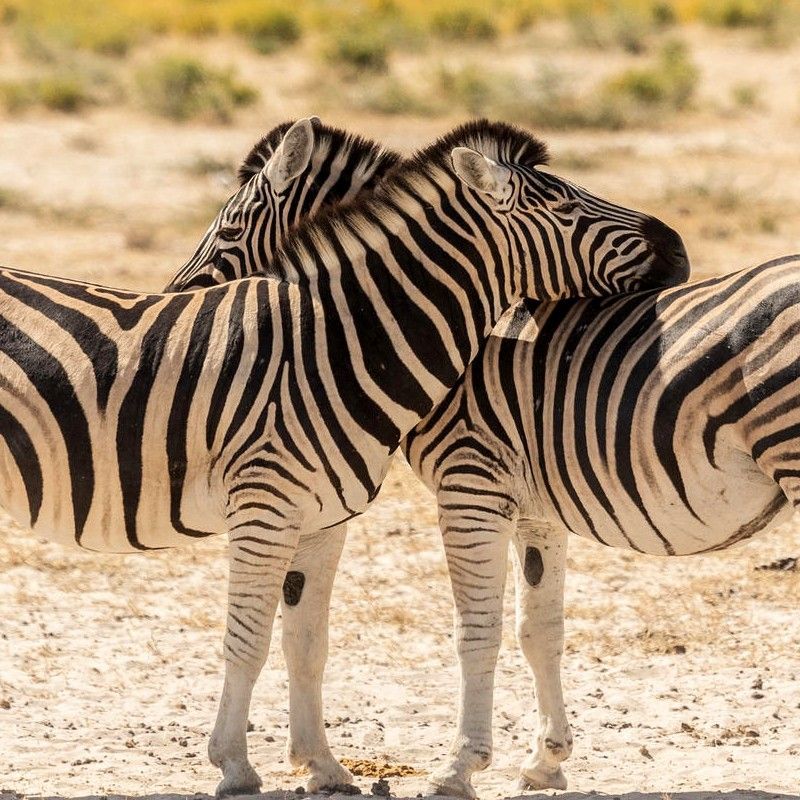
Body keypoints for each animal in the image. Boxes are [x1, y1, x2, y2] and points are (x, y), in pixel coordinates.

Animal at [0, 120, 685, 796]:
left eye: (228, 230)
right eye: (566, 205)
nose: (677, 248)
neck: (335, 342)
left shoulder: (335, 514)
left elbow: (308, 639)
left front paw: (323, 767)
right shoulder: (279, 506)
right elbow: (251, 638)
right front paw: (238, 767)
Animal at [400, 254, 800, 797]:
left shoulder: (470, 481)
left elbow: (476, 634)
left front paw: (457, 767)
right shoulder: (536, 511)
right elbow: (539, 630)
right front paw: (546, 760)